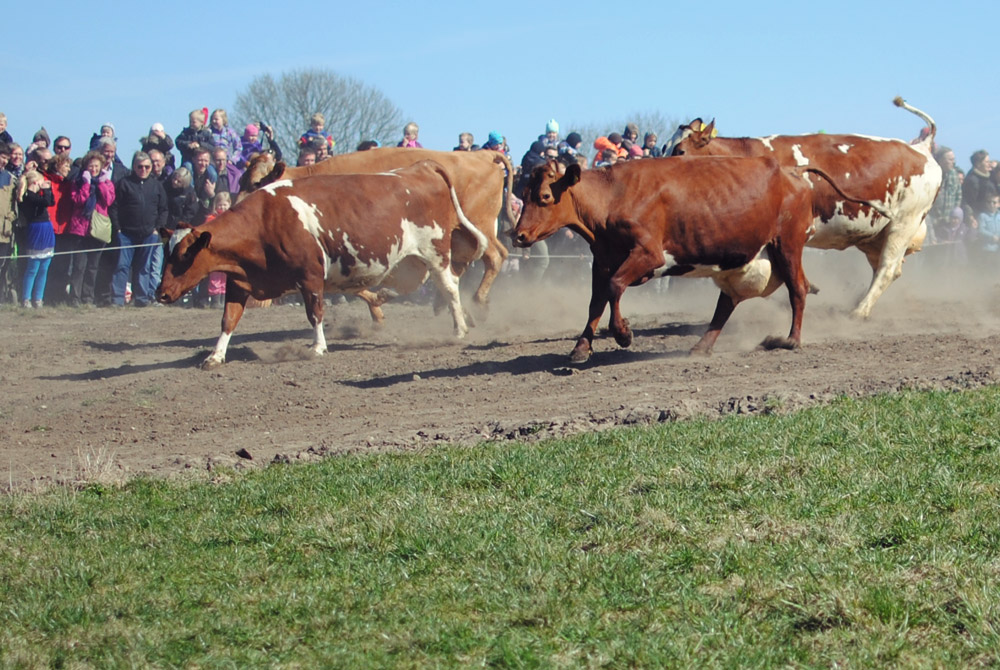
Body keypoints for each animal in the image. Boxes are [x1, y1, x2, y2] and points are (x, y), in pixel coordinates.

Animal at [156, 163, 488, 372]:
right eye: (167, 252)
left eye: (184, 255)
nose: (161, 293)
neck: (264, 223)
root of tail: (421, 167)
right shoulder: (240, 282)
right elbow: (228, 320)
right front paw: (215, 356)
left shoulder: (310, 276)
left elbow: (315, 312)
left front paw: (317, 347)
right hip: (410, 262)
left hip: (435, 251)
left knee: (449, 286)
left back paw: (459, 328)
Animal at [238, 147, 512, 320]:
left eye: (256, 183)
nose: (237, 207)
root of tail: (483, 154)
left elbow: (354, 285)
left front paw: (377, 305)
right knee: (466, 263)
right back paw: (443, 304)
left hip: (478, 225)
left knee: (494, 257)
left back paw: (477, 300)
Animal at [512, 159, 880, 362]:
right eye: (522, 194)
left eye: (544, 196)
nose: (519, 236)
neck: (612, 196)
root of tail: (792, 169)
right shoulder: (601, 261)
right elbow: (595, 304)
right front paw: (580, 348)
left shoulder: (648, 254)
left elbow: (615, 288)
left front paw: (624, 334)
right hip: (746, 258)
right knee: (728, 303)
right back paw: (702, 346)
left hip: (787, 245)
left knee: (798, 289)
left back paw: (791, 340)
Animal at [664, 98, 944, 322]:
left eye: (680, 150)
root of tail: (921, 148)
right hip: (874, 234)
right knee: (887, 268)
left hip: (904, 222)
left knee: (887, 267)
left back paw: (858, 311)